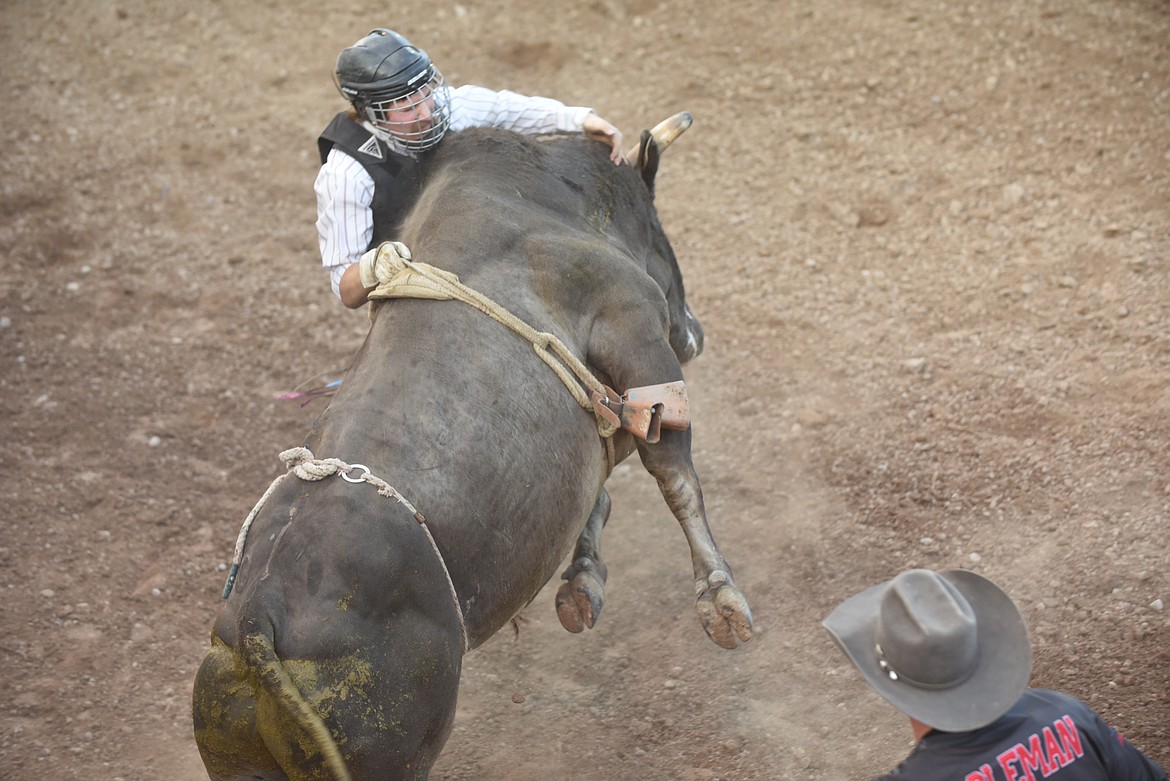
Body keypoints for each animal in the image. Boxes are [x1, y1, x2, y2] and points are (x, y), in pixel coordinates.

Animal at [194, 111, 748, 781]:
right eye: (661, 232)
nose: (694, 331)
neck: (548, 202)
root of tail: (259, 618)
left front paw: (583, 582)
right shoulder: (632, 320)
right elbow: (671, 465)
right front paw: (720, 601)